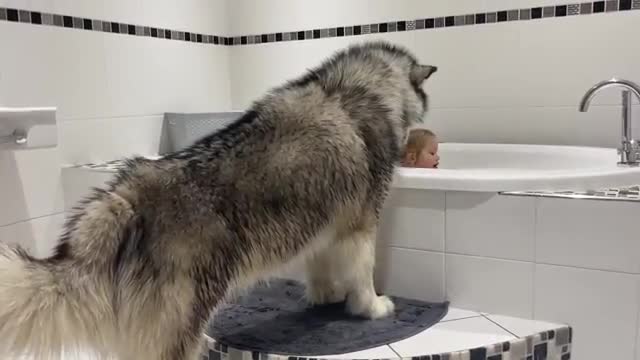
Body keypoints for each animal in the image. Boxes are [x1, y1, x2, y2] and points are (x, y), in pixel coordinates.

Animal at [0, 40, 436, 358]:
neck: (359, 89)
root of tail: (123, 196)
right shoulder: (361, 225)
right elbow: (363, 274)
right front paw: (372, 308)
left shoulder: (323, 224)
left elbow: (320, 268)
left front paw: (324, 297)